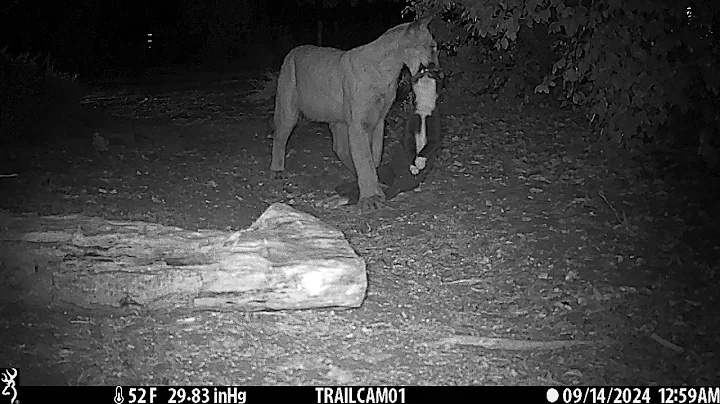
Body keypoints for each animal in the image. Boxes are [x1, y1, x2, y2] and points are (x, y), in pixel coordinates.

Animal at [269, 14, 439, 210]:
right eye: (432, 47)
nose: (438, 68)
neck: (389, 70)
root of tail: (293, 50)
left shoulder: (379, 120)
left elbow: (373, 154)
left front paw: (374, 186)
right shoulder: (359, 122)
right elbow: (364, 157)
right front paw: (370, 197)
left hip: (337, 119)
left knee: (340, 148)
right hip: (288, 108)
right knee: (280, 136)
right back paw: (277, 170)